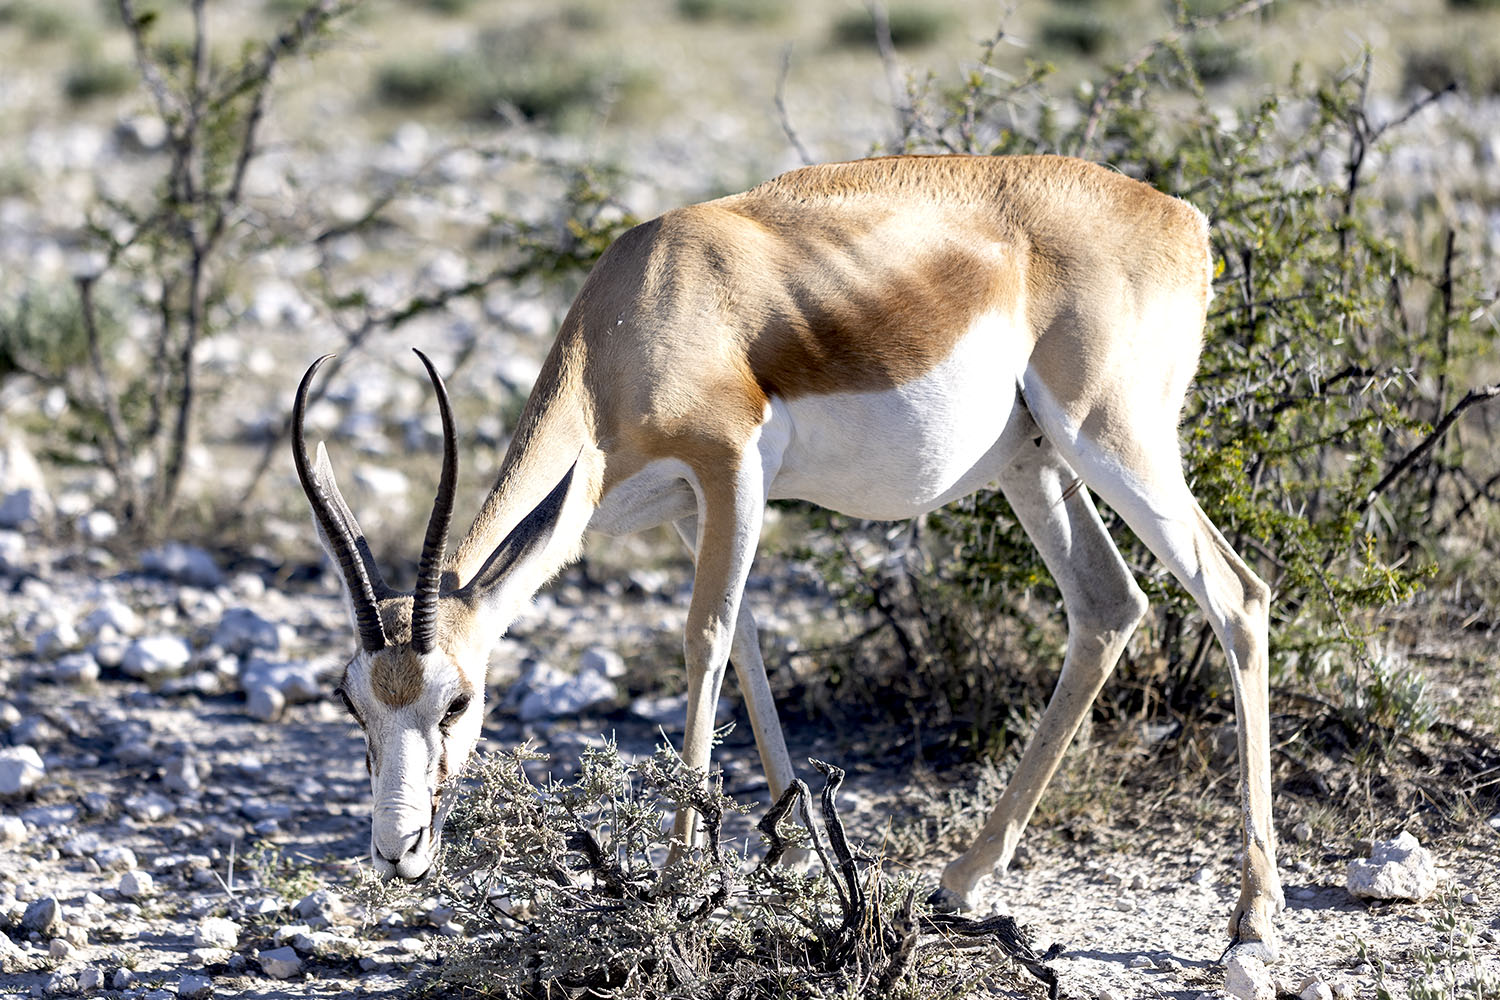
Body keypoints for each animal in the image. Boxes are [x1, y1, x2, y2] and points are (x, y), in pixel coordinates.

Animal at [298, 156, 1284, 959]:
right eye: (354, 702)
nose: (398, 851)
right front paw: (801, 861)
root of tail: (1179, 217)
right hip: (1034, 463)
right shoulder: (693, 509)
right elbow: (747, 646)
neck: (647, 302)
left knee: (1236, 594)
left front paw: (674, 881)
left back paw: (1251, 920)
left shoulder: (729, 467)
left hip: (1113, 439)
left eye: (457, 700)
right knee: (1108, 605)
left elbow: (704, 639)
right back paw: (962, 879)